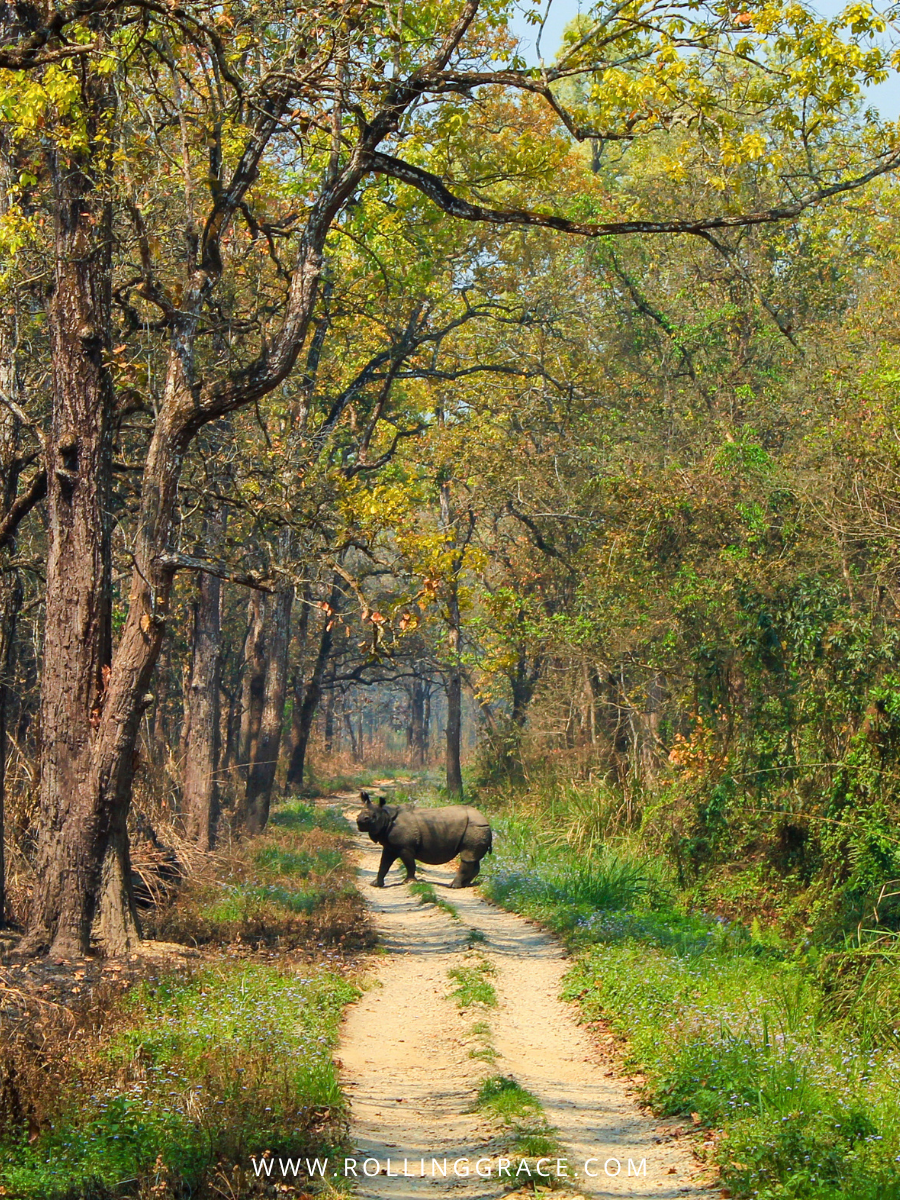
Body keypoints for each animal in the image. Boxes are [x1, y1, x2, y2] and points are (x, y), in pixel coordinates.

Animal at [356, 791, 493, 889]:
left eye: (372, 817)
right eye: (359, 813)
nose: (360, 820)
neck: (386, 816)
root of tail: (486, 821)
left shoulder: (405, 847)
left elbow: (409, 863)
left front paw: (409, 881)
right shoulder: (390, 846)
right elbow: (384, 863)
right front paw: (375, 884)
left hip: (474, 827)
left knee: (467, 856)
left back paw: (453, 886)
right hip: (477, 827)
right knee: (472, 858)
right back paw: (465, 884)